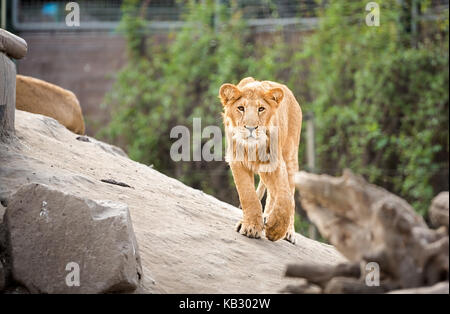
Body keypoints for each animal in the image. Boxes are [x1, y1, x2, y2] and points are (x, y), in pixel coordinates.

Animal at [219, 77, 302, 244]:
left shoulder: (276, 162)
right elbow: (248, 195)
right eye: (241, 108)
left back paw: (287, 231)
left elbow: (285, 198)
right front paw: (251, 227)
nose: (251, 128)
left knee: (288, 193)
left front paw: (276, 230)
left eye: (261, 109)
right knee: (270, 192)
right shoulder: (236, 159)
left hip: (290, 157)